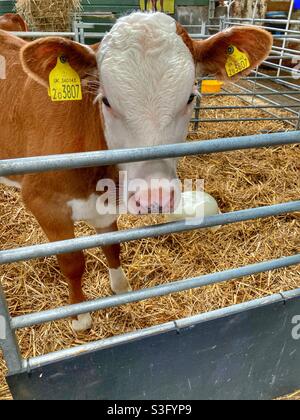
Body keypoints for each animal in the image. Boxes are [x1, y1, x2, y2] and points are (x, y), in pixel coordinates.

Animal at [0, 11, 272, 332]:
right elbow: (73, 262)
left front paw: (121, 288)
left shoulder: (104, 203)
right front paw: (80, 316)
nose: (154, 197)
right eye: (105, 101)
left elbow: (112, 246)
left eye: (190, 97)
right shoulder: (44, 204)